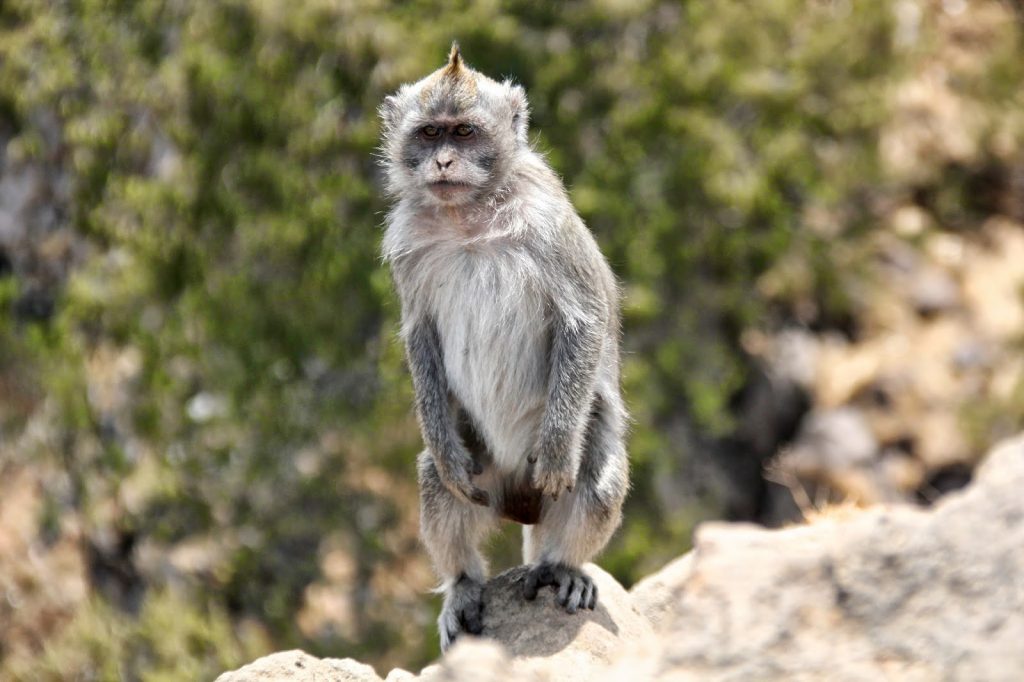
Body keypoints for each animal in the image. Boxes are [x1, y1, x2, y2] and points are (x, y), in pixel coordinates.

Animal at [380, 42, 626, 647]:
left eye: (465, 132)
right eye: (429, 133)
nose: (444, 162)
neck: (468, 215)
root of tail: (519, 499)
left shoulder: (548, 222)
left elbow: (584, 320)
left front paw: (558, 450)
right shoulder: (405, 244)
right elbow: (420, 336)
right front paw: (444, 452)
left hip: (555, 475)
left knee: (598, 482)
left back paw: (562, 565)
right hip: (483, 476)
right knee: (438, 482)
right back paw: (463, 584)